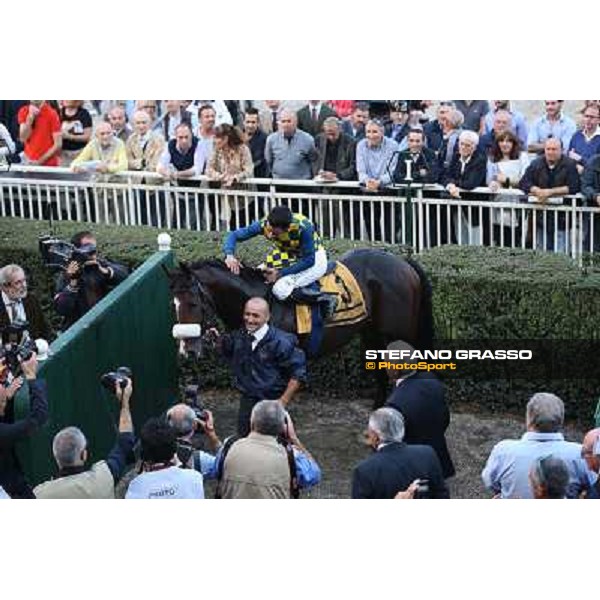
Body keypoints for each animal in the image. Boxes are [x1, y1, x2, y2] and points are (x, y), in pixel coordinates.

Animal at [166, 246, 434, 406]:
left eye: (193, 303)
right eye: (173, 304)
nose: (187, 350)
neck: (260, 301)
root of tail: (404, 262)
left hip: (400, 332)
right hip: (372, 333)